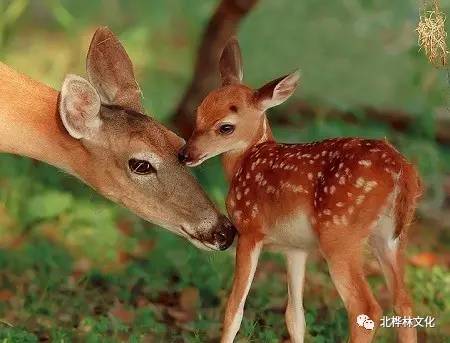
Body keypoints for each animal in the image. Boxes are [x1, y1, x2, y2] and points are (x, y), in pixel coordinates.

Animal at [179, 38, 422, 343]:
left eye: (225, 127)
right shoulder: (296, 248)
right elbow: (295, 317)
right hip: (391, 237)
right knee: (404, 302)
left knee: (366, 308)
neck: (245, 162)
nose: (185, 154)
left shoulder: (249, 230)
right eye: (198, 112)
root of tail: (402, 169)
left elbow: (234, 309)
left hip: (340, 234)